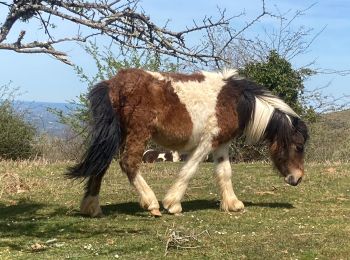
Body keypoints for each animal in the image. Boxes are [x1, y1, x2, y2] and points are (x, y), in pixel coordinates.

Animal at [67, 68, 308, 217]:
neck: (234, 101)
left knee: (101, 165)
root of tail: (113, 83)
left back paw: (91, 207)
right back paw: (151, 203)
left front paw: (232, 203)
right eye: (298, 146)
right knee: (129, 163)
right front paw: (172, 204)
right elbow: (189, 170)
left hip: (116, 135)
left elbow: (225, 172)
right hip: (137, 134)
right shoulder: (206, 143)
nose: (297, 179)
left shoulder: (221, 144)